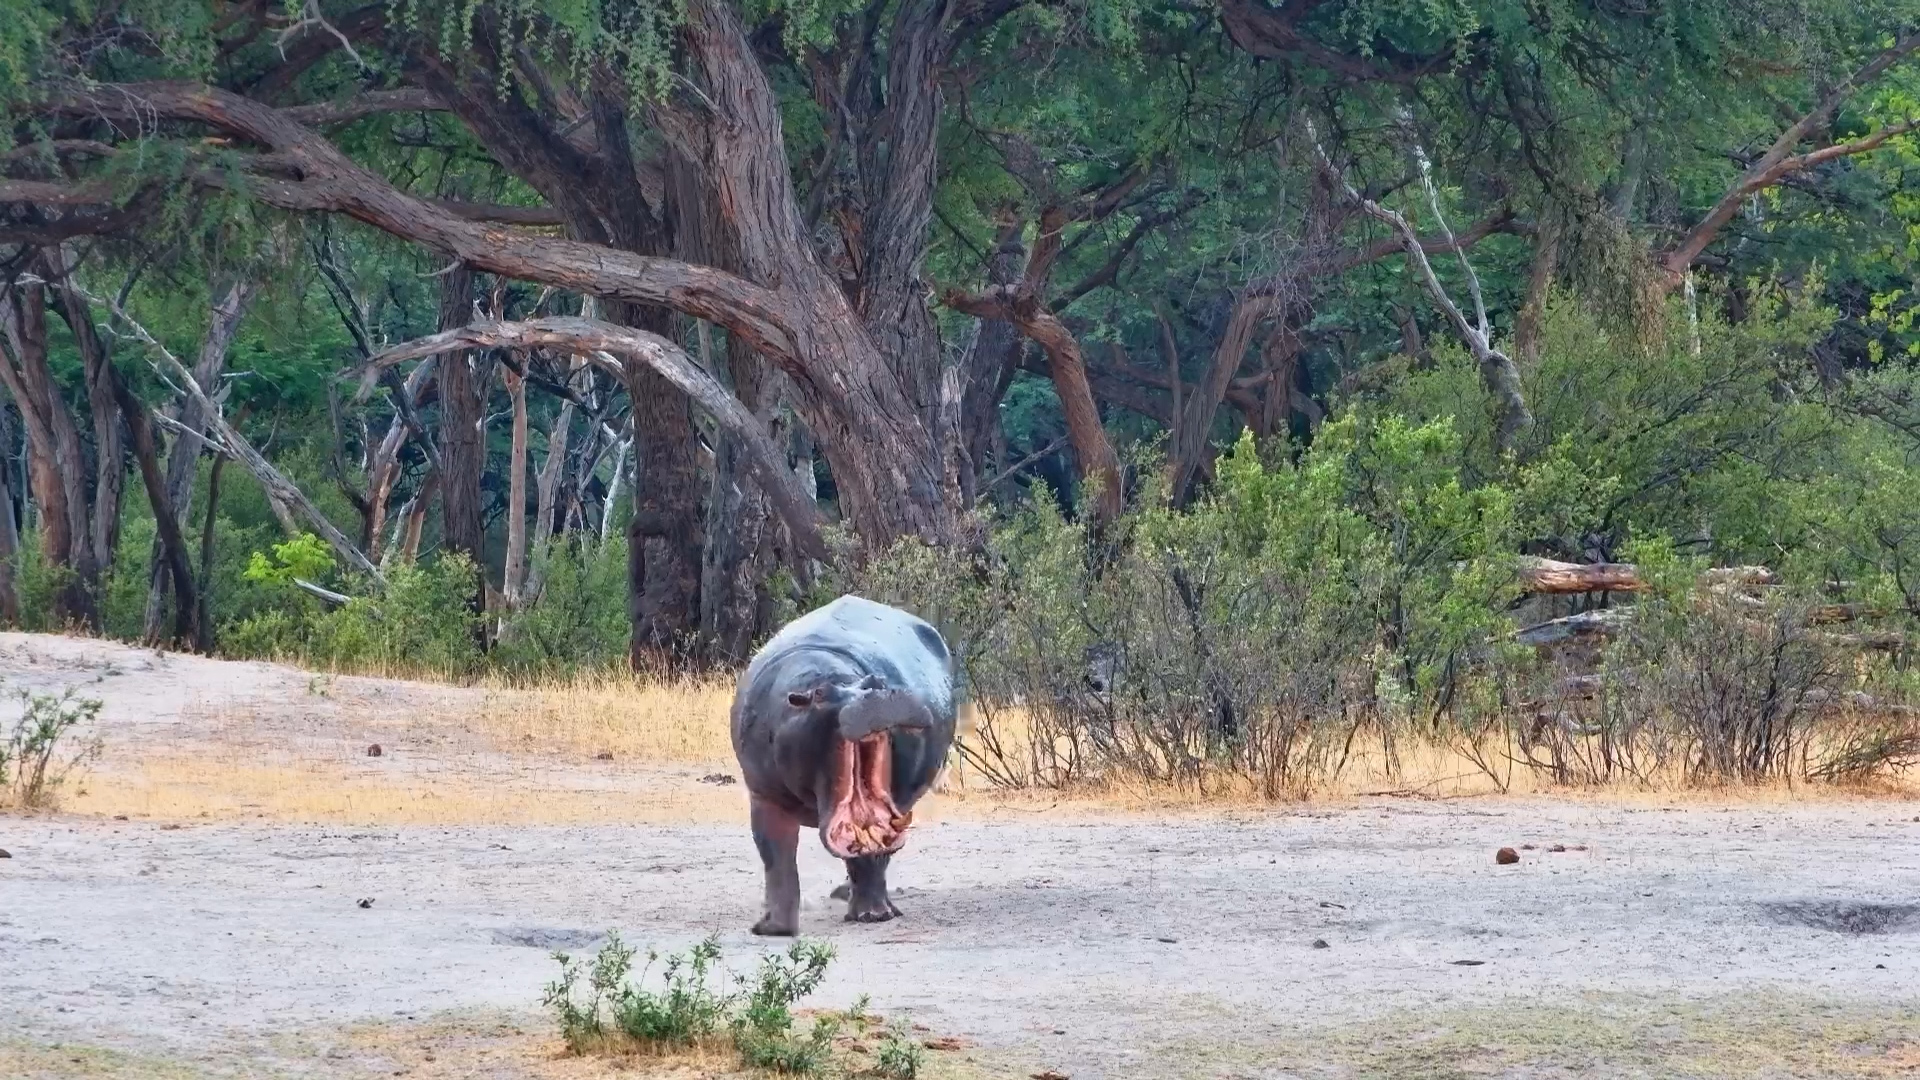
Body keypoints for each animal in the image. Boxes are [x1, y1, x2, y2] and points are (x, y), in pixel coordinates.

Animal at [730, 595, 956, 935]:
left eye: (875, 681)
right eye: (821, 694)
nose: (878, 696)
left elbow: (870, 858)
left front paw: (873, 915)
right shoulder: (764, 795)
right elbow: (776, 857)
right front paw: (772, 929)